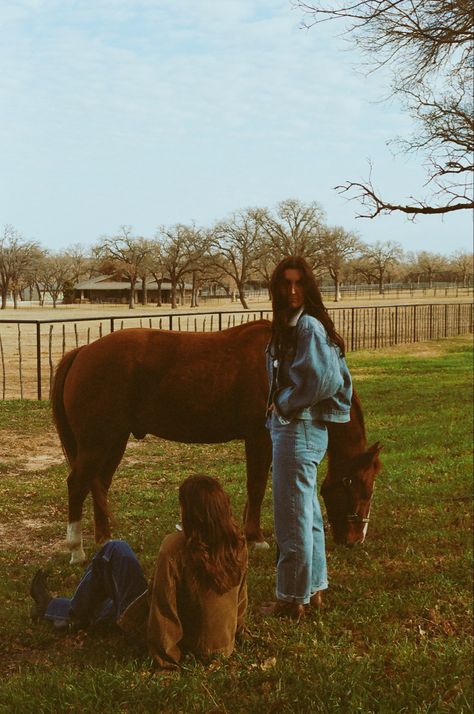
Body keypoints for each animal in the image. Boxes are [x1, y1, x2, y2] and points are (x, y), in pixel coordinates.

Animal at [50, 318, 380, 560]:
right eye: (360, 485)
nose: (357, 540)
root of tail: (83, 352)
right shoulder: (259, 437)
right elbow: (257, 485)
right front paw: (256, 538)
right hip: (96, 442)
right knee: (77, 485)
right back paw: (77, 550)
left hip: (114, 440)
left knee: (99, 484)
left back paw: (105, 540)